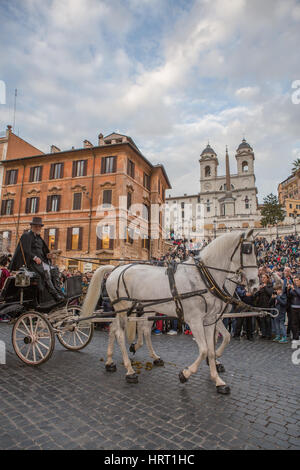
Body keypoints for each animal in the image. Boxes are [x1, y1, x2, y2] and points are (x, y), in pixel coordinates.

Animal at [81, 229, 258, 394]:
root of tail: (115, 269)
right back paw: (130, 371)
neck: (204, 278)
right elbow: (204, 350)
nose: (254, 283)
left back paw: (112, 361)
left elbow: (214, 348)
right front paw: (185, 374)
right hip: (124, 309)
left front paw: (218, 380)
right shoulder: (195, 320)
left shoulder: (210, 320)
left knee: (122, 328)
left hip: (136, 309)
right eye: (247, 249)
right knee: (120, 333)